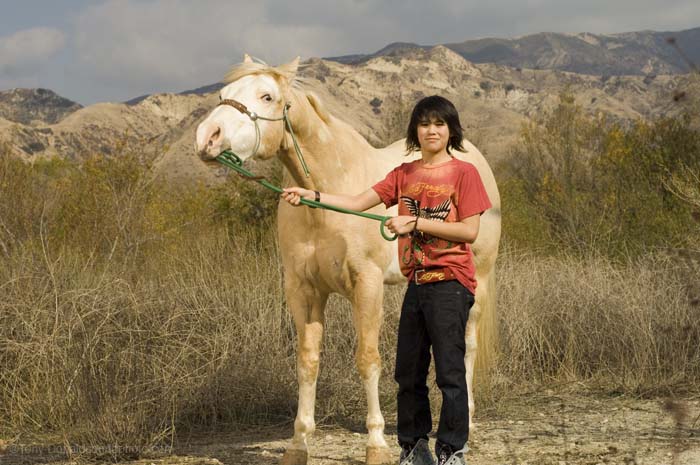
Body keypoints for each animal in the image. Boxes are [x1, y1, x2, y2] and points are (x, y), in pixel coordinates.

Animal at [194, 55, 500, 464]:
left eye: (267, 96)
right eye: (223, 94)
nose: (207, 137)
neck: (331, 192)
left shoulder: (365, 285)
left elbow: (367, 359)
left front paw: (376, 444)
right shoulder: (303, 290)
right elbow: (308, 362)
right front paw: (299, 444)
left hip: (476, 281)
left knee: (466, 346)